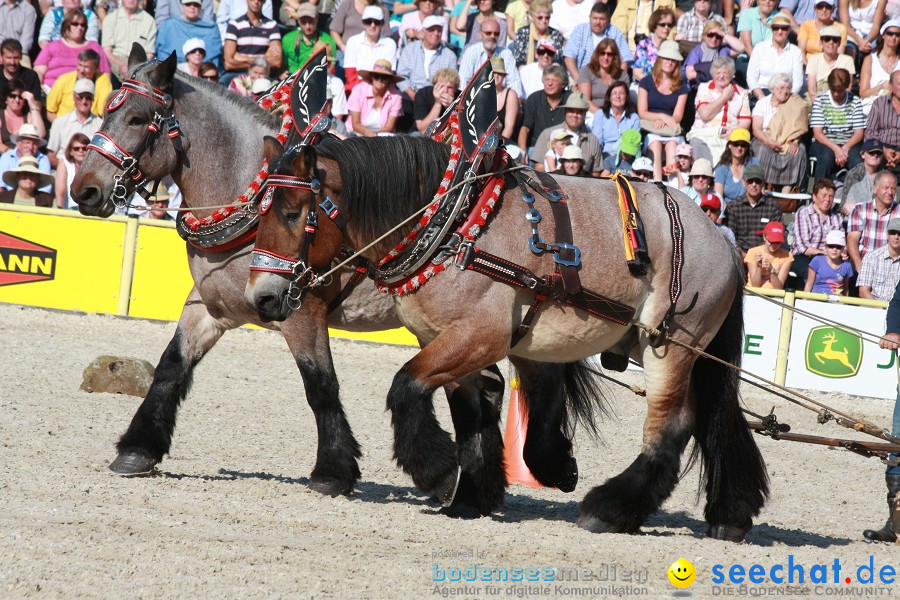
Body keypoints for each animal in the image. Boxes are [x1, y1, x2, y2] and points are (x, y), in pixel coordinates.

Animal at [248, 134, 772, 540]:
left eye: (293, 212)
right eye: (260, 214)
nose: (263, 297)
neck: (455, 226)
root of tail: (720, 238)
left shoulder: (481, 334)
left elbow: (406, 386)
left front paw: (437, 469)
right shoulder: (445, 339)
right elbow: (472, 413)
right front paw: (474, 493)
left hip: (669, 344)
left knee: (672, 426)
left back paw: (610, 509)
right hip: (677, 350)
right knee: (707, 419)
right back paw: (729, 513)